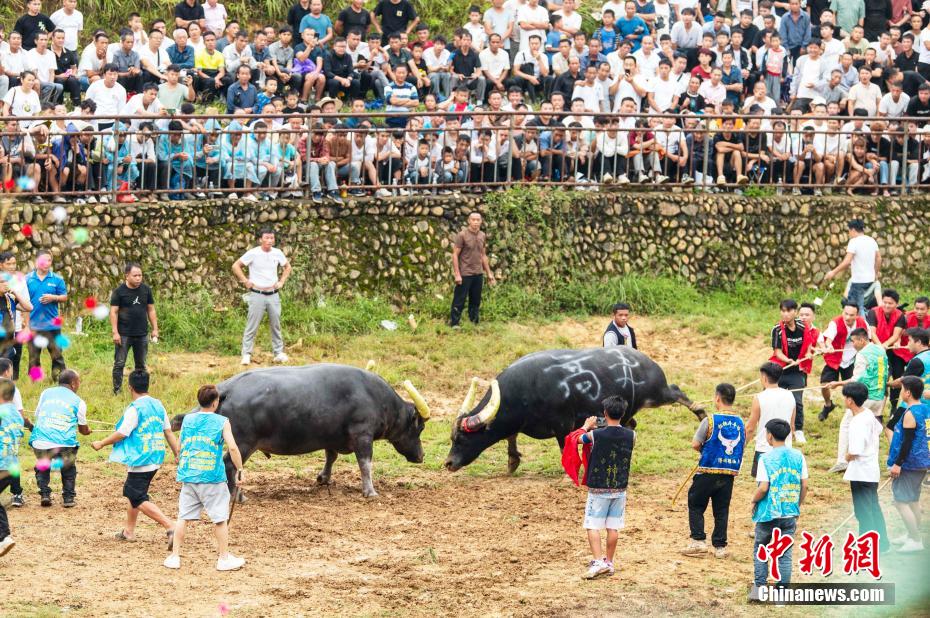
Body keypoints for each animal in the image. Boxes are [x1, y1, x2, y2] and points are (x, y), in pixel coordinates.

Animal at [172, 364, 430, 498]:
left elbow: (331, 456)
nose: (421, 456)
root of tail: (226, 388)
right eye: (420, 427)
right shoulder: (362, 435)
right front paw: (370, 491)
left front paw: (323, 478)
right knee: (230, 465)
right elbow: (365, 464)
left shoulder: (331, 437)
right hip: (243, 443)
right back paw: (239, 496)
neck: (374, 397)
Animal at [442, 346, 704, 472]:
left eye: (462, 439)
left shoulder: (562, 425)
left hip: (656, 394)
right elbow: (511, 436)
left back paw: (702, 413)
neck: (527, 390)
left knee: (677, 392)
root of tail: (645, 360)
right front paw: (512, 462)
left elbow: (563, 447)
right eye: (452, 438)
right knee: (631, 425)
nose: (448, 463)